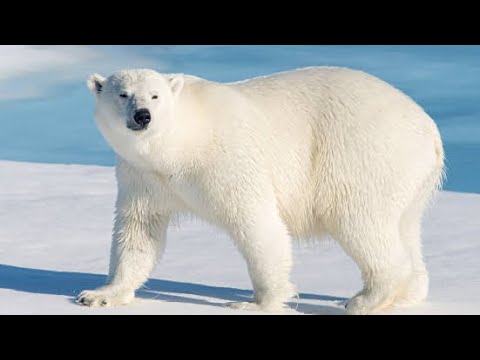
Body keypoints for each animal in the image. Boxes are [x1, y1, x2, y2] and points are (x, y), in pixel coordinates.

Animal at [77, 67, 444, 316]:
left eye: (155, 95)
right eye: (123, 94)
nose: (143, 116)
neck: (182, 143)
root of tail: (429, 128)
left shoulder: (227, 158)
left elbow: (256, 223)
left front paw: (256, 303)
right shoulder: (143, 176)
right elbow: (139, 231)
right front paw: (99, 294)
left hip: (362, 154)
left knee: (359, 220)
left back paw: (364, 299)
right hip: (410, 178)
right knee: (404, 226)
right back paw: (408, 293)